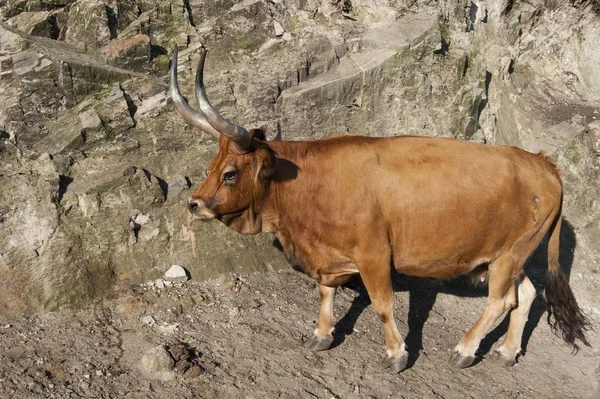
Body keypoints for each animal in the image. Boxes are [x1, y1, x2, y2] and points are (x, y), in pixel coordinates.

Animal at [170, 47, 592, 376]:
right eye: (211, 166)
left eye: (230, 173)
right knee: (527, 293)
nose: (194, 203)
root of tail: (539, 161)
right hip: (510, 255)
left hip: (510, 254)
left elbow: (383, 305)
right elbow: (325, 292)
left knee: (501, 301)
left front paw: (396, 354)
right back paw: (506, 351)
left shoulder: (374, 255)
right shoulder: (328, 254)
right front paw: (322, 334)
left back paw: (465, 349)